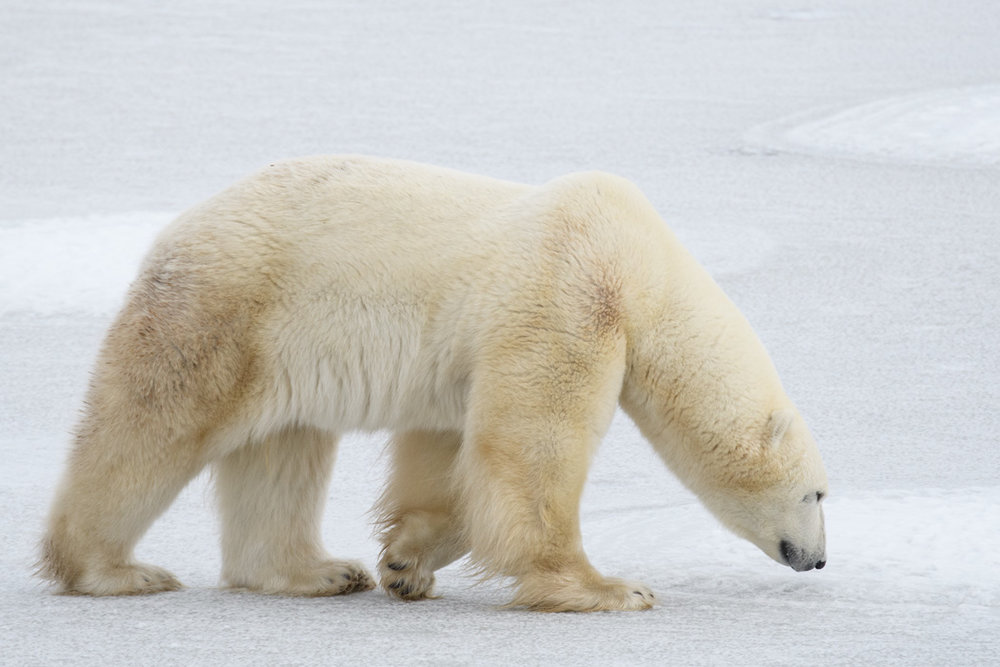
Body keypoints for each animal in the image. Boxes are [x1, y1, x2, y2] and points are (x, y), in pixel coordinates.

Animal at [40, 155, 828, 611]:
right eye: (817, 494)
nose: (819, 557)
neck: (644, 266)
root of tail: (171, 236)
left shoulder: (479, 349)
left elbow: (452, 447)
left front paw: (404, 562)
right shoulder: (569, 294)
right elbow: (532, 443)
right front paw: (609, 587)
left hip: (283, 344)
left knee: (283, 452)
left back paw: (320, 571)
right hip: (225, 315)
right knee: (150, 429)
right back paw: (112, 570)